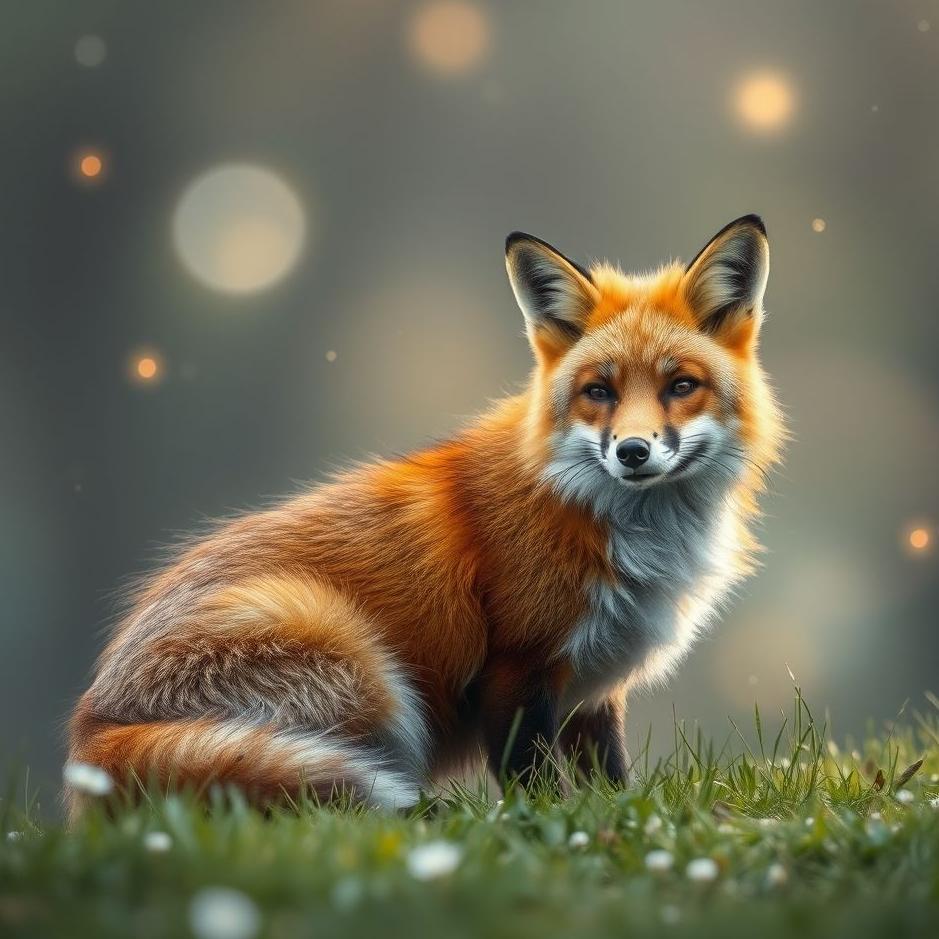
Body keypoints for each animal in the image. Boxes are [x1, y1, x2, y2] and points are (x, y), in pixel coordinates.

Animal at [67, 214, 783, 817]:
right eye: (598, 392)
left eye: (681, 386)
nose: (632, 451)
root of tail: (90, 732)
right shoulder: (516, 671)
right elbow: (536, 786)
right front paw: (544, 829)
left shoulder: (593, 688)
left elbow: (611, 780)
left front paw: (622, 818)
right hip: (356, 662)